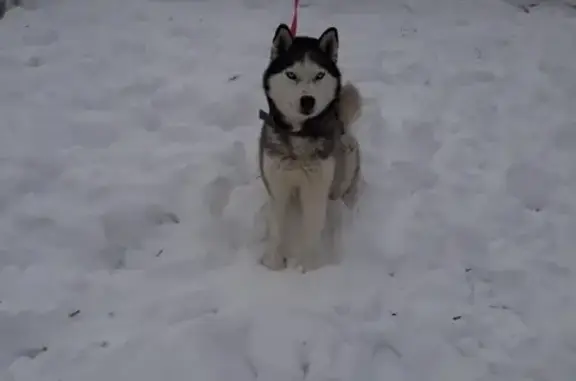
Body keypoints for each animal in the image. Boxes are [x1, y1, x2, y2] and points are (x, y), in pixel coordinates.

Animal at [258, 23, 362, 270]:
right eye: (291, 74)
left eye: (319, 75)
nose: (308, 101)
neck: (298, 136)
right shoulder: (277, 183)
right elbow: (276, 228)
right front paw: (273, 264)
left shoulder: (316, 186)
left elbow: (312, 229)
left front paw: (309, 268)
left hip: (347, 155)